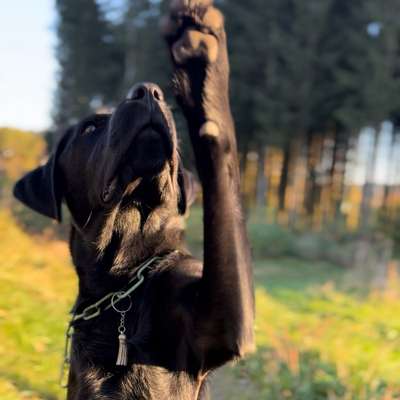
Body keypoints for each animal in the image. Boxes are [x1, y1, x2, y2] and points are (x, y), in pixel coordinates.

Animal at [15, 1, 255, 398]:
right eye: (90, 127)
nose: (147, 91)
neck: (121, 284)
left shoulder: (221, 323)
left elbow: (222, 174)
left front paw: (200, 63)